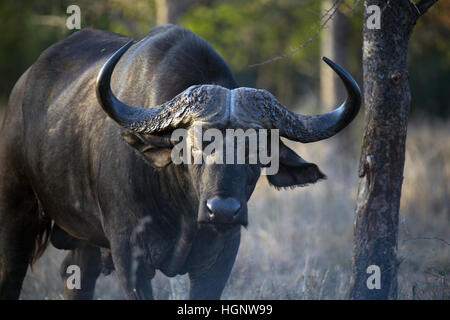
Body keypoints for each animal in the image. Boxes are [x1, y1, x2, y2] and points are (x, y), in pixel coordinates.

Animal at [0, 23, 360, 298]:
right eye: (194, 144)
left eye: (257, 150)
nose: (222, 211)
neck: (183, 208)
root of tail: (20, 91)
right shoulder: (129, 257)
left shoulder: (221, 256)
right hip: (18, 211)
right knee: (12, 273)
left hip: (83, 240)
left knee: (75, 277)